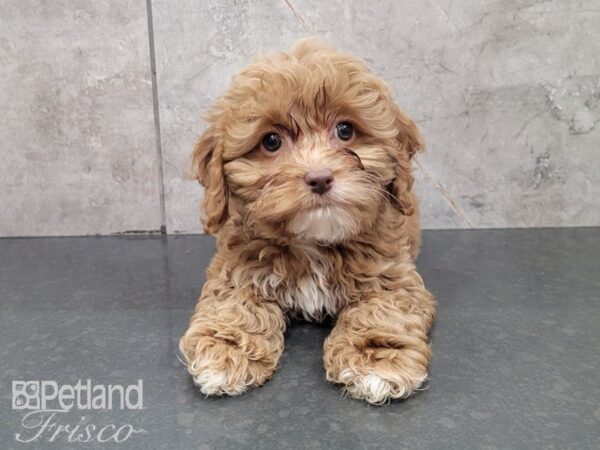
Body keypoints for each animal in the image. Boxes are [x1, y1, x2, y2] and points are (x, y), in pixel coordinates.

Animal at [179, 38, 436, 404]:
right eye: (271, 141)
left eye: (345, 130)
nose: (319, 177)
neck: (313, 243)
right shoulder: (236, 268)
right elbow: (235, 306)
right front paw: (226, 350)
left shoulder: (395, 276)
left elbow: (383, 311)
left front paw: (377, 361)